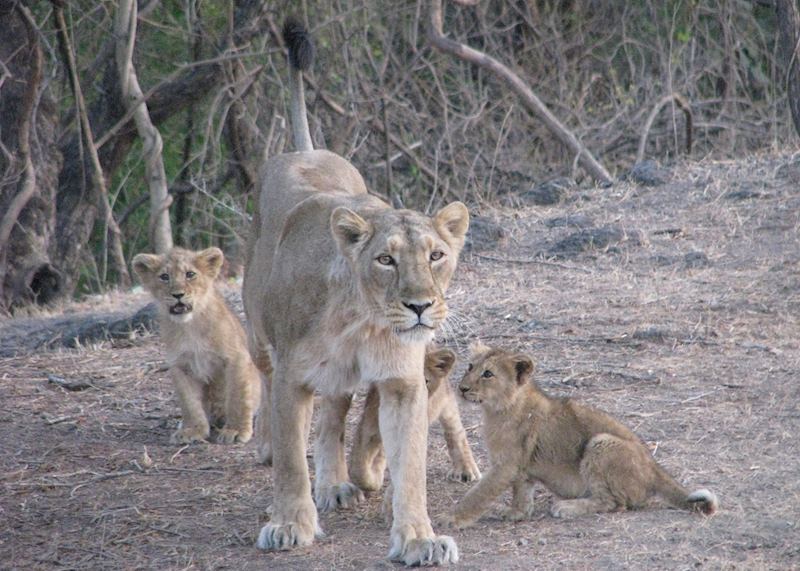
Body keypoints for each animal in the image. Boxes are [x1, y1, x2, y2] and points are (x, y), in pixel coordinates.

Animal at [132, 247, 261, 445]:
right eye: (164, 277)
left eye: (190, 274)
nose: (178, 295)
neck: (189, 326)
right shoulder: (180, 365)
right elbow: (189, 403)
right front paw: (192, 430)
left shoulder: (236, 357)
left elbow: (237, 396)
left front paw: (236, 430)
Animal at [242, 19, 468, 565]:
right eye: (385, 259)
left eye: (436, 255)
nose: (420, 306)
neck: (363, 321)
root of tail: (303, 149)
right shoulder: (292, 377)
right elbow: (291, 463)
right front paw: (291, 525)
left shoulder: (404, 383)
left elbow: (410, 468)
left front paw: (418, 538)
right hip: (258, 334)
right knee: (265, 384)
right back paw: (268, 448)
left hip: (339, 378)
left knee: (332, 418)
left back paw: (335, 484)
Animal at [349, 347, 481, 502]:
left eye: (425, 381)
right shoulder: (368, 425)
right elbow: (358, 468)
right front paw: (372, 480)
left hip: (445, 401)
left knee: (455, 429)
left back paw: (466, 468)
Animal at [442, 343, 718, 527]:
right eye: (470, 366)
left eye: (488, 374)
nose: (461, 388)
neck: (498, 409)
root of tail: (655, 468)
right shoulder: (520, 467)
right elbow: (522, 492)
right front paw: (516, 514)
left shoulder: (505, 465)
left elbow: (478, 494)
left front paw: (452, 518)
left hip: (600, 443)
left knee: (614, 503)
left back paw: (566, 507)